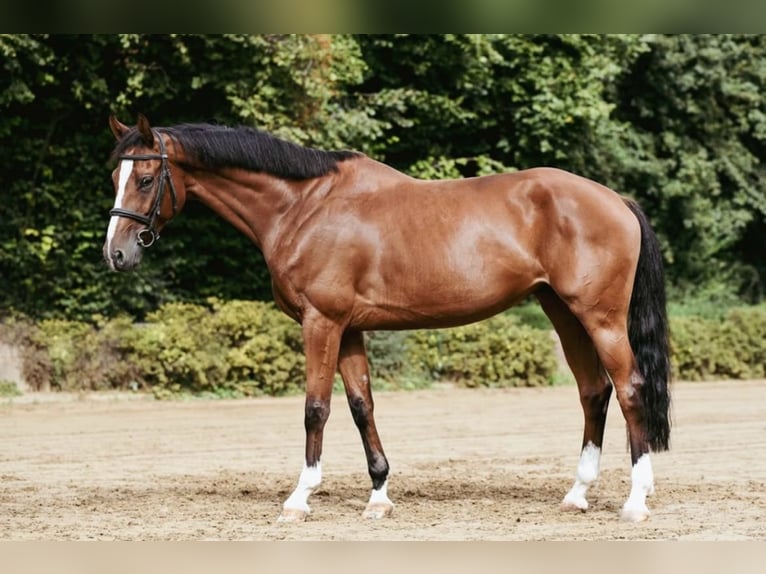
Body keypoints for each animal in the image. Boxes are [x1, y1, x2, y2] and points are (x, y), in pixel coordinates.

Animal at [103, 114, 671, 523]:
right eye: (116, 176)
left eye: (146, 178)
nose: (117, 254)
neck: (303, 207)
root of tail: (615, 199)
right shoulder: (350, 327)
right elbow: (361, 406)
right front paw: (378, 494)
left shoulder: (321, 322)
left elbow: (315, 408)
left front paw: (300, 498)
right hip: (563, 312)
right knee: (593, 392)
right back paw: (577, 494)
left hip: (599, 317)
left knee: (629, 389)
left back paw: (636, 502)